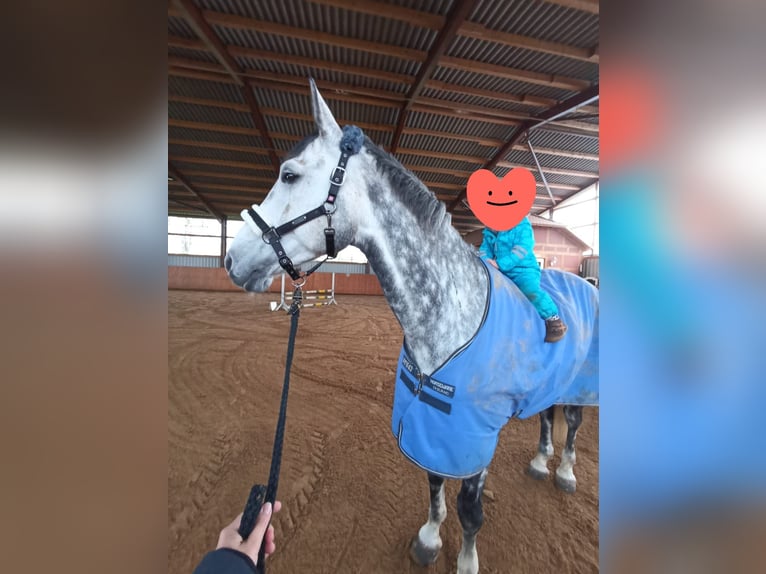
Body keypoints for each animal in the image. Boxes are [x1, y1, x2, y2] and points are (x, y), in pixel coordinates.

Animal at [225, 80, 599, 574]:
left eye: (289, 175)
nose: (232, 259)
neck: (451, 315)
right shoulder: (433, 428)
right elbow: (434, 485)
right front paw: (428, 539)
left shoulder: (472, 439)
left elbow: (469, 510)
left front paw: (466, 560)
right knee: (546, 417)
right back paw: (540, 461)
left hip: (580, 385)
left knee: (571, 422)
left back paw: (566, 472)